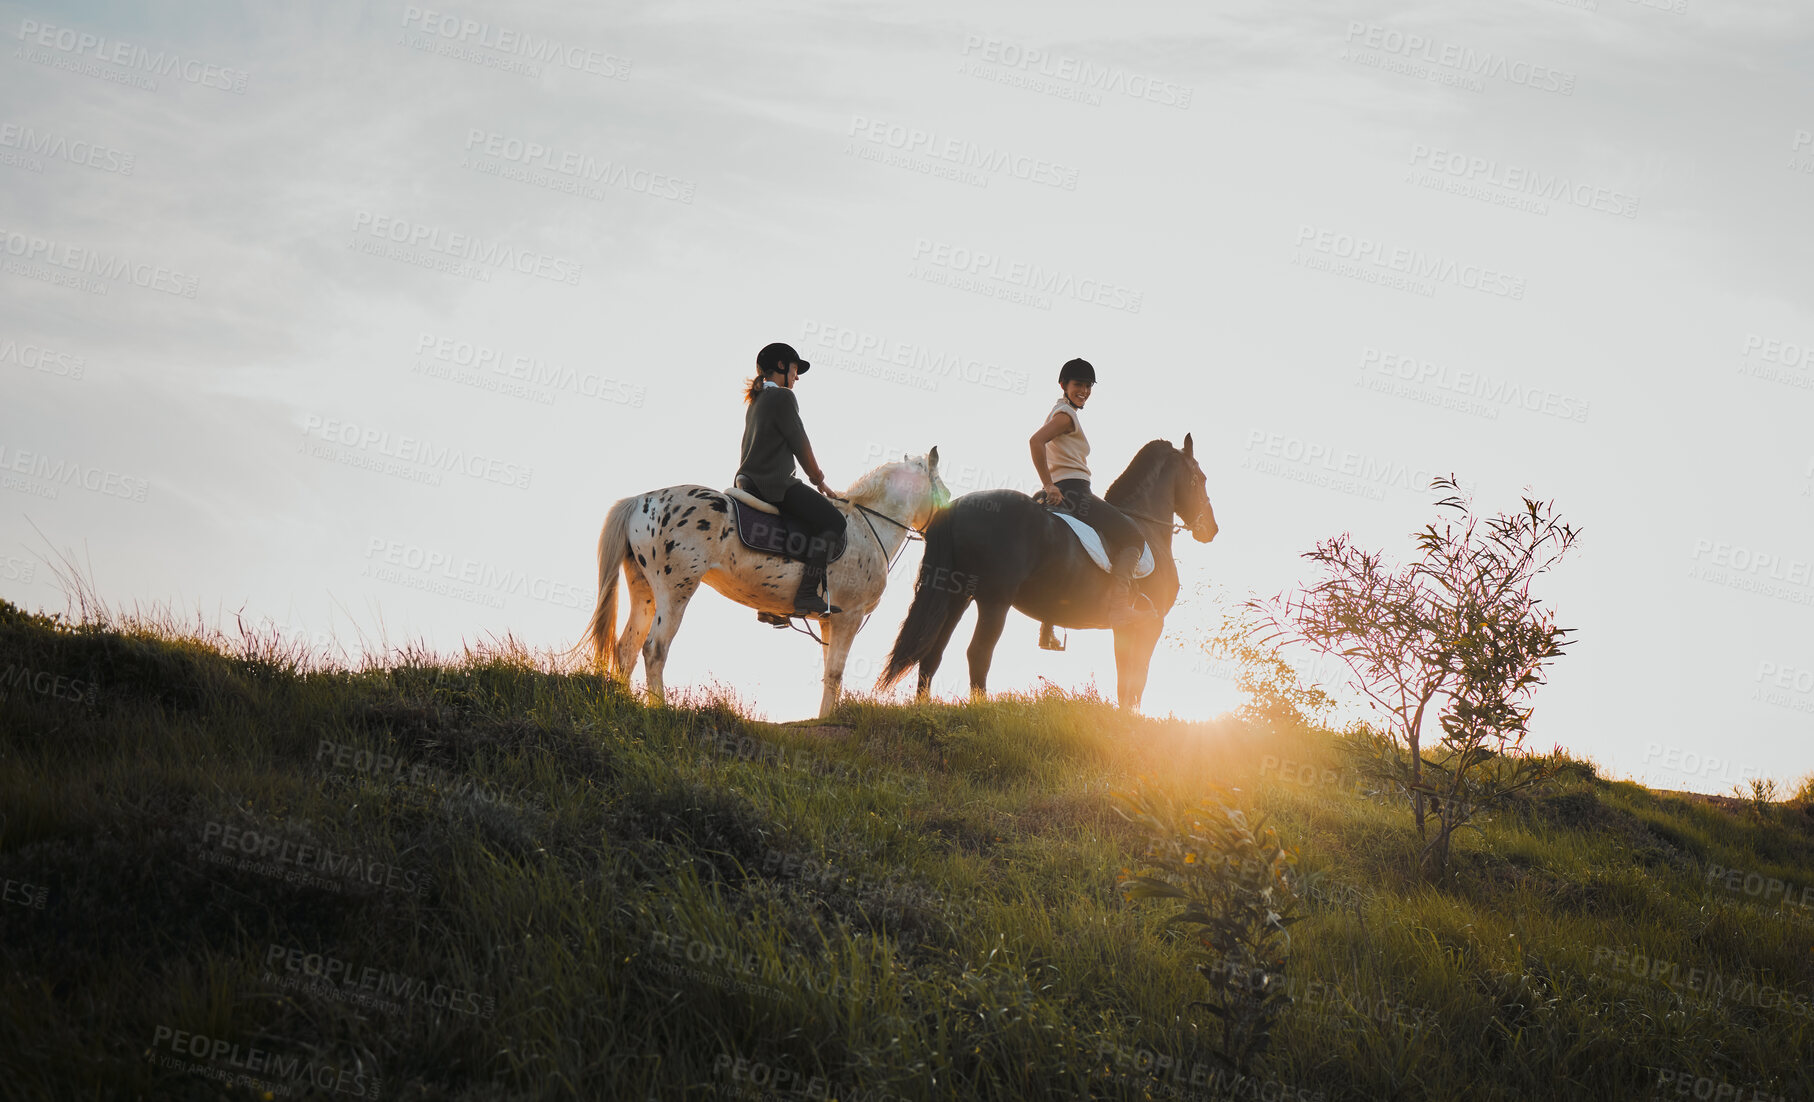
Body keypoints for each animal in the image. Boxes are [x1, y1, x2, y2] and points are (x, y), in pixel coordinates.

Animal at [584, 450, 950, 718]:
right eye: (944, 493)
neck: (868, 526)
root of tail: (642, 500)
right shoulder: (849, 615)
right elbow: (835, 673)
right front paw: (828, 720)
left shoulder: (831, 620)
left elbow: (829, 673)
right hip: (676, 591)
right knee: (655, 647)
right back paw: (659, 709)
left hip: (645, 591)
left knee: (627, 648)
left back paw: (625, 703)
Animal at [877, 435, 1219, 711]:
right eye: (1201, 478)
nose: (1211, 530)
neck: (1148, 526)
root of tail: (956, 508)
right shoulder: (1150, 624)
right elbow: (1136, 677)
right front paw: (1131, 721)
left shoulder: (1129, 627)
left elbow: (1126, 675)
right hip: (994, 600)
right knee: (978, 653)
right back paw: (981, 707)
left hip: (956, 596)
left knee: (933, 651)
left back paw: (923, 706)